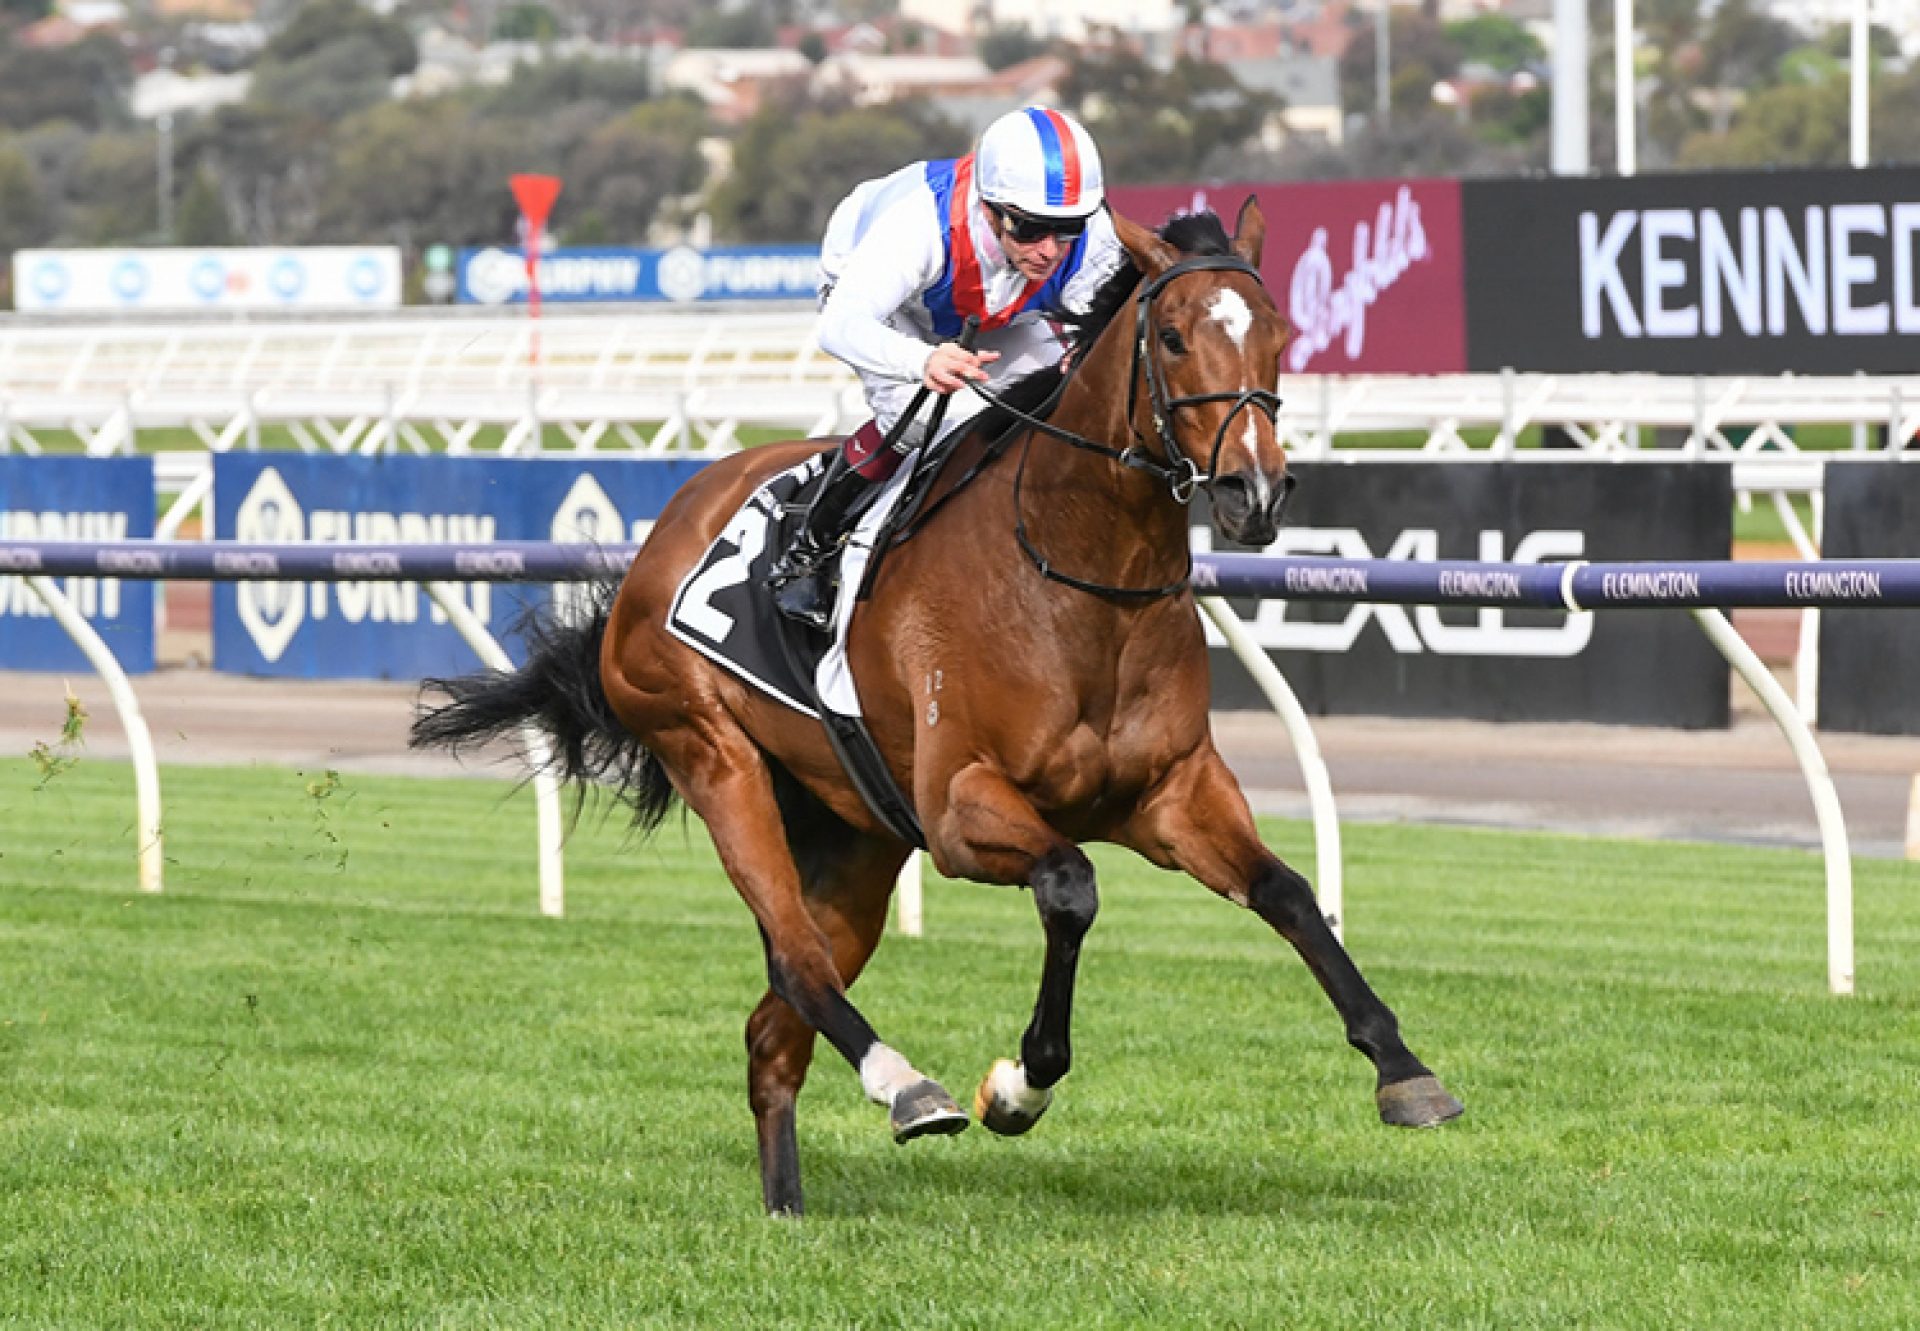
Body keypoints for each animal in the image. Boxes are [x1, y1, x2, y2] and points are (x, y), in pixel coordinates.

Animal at [416, 199, 1451, 1213]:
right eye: (1172, 335)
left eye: (1278, 333)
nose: (1254, 489)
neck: (1075, 573)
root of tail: (664, 533)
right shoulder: (960, 809)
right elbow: (1071, 885)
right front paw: (1019, 1086)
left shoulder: (1172, 792)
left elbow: (1289, 891)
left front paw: (1402, 1066)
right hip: (711, 750)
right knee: (797, 958)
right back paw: (907, 1086)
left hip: (858, 838)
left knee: (773, 1027)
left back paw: (788, 1204)